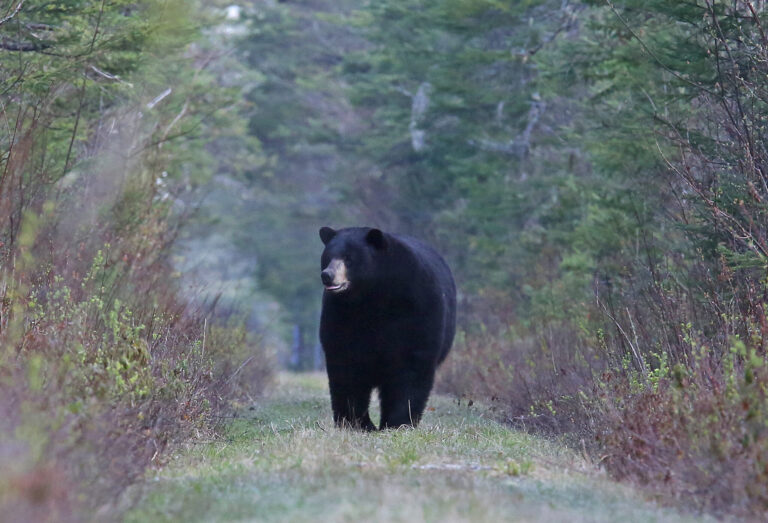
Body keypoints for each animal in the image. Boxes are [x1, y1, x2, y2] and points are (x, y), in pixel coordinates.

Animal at [318, 226, 456, 430]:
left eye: (349, 259)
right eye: (327, 258)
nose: (327, 275)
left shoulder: (415, 305)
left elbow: (411, 366)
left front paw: (398, 422)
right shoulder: (341, 314)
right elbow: (347, 366)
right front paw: (355, 423)